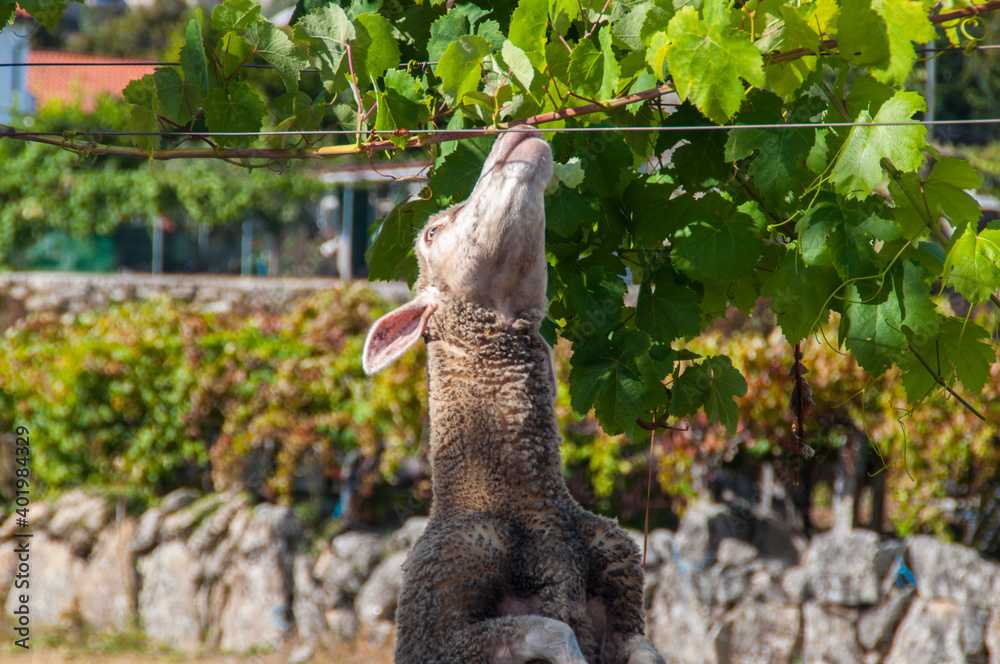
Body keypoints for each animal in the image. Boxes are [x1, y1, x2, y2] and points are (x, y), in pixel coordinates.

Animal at [363, 128, 664, 664]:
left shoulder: (623, 589)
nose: (520, 134)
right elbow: (549, 629)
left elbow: (644, 649)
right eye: (432, 233)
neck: (535, 513)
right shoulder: (441, 624)